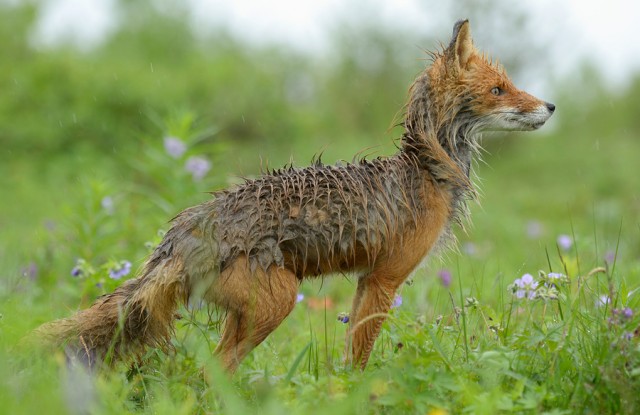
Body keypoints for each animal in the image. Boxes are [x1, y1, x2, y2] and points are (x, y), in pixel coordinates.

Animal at [35, 20, 556, 374]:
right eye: (499, 89)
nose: (550, 106)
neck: (427, 169)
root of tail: (180, 233)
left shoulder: (367, 280)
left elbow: (349, 356)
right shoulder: (385, 279)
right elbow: (360, 359)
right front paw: (354, 395)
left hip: (251, 313)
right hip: (278, 303)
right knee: (208, 371)